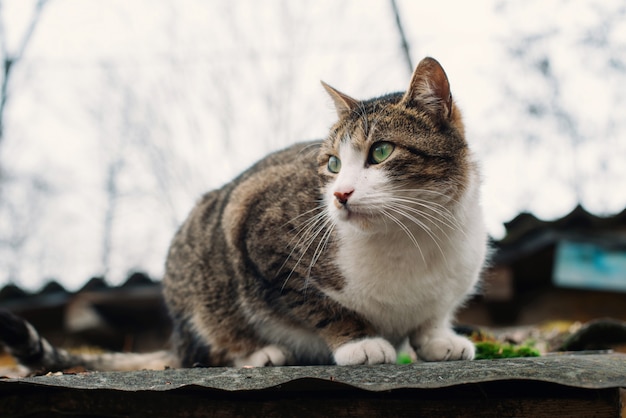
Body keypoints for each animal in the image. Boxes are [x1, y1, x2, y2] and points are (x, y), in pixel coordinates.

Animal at [0, 56, 488, 372]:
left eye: (381, 152)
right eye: (332, 163)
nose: (340, 194)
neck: (409, 236)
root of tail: (176, 340)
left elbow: (432, 314)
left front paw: (437, 339)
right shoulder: (255, 230)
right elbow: (318, 304)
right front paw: (360, 342)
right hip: (200, 273)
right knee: (205, 349)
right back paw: (259, 353)